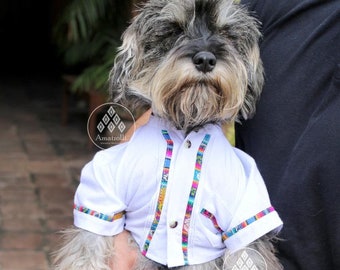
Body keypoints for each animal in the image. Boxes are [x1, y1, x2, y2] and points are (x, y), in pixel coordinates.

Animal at [54, 0, 282, 268]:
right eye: (173, 30)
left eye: (226, 33)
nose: (205, 60)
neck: (185, 130)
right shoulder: (102, 195)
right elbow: (88, 247)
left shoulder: (245, 212)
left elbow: (247, 254)